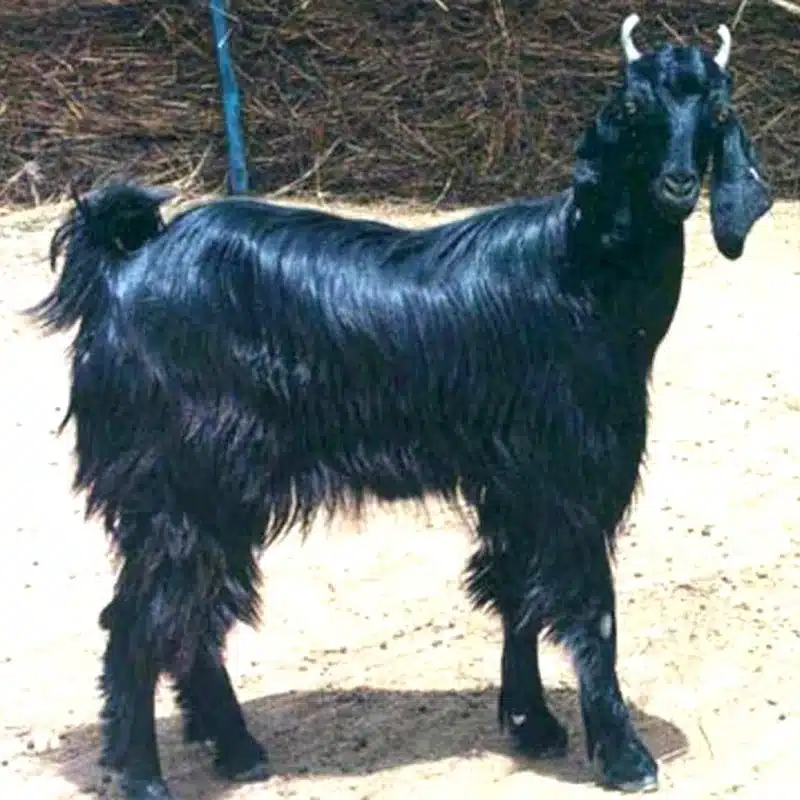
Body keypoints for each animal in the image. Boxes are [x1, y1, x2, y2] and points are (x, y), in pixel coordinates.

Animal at [30, 15, 771, 800]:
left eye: (717, 112)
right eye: (632, 109)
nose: (677, 184)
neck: (580, 270)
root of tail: (122, 268)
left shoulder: (514, 483)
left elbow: (516, 593)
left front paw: (531, 723)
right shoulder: (568, 473)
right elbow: (589, 609)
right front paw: (625, 754)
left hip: (216, 490)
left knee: (192, 615)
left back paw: (236, 747)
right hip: (179, 481)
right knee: (141, 622)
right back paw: (144, 775)